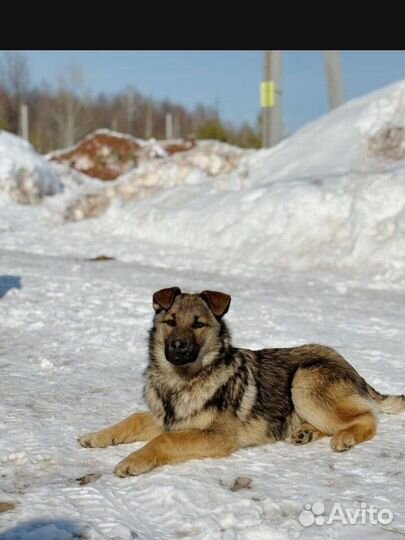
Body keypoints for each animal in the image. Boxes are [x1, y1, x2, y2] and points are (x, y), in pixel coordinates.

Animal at [79, 286, 404, 476]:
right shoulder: (168, 418)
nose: (178, 348)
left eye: (198, 324)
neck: (182, 381)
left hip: (304, 380)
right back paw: (304, 432)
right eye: (170, 322)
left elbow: (165, 439)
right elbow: (133, 418)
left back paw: (344, 437)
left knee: (367, 418)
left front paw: (132, 461)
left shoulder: (217, 435)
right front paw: (97, 436)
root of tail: (350, 366)